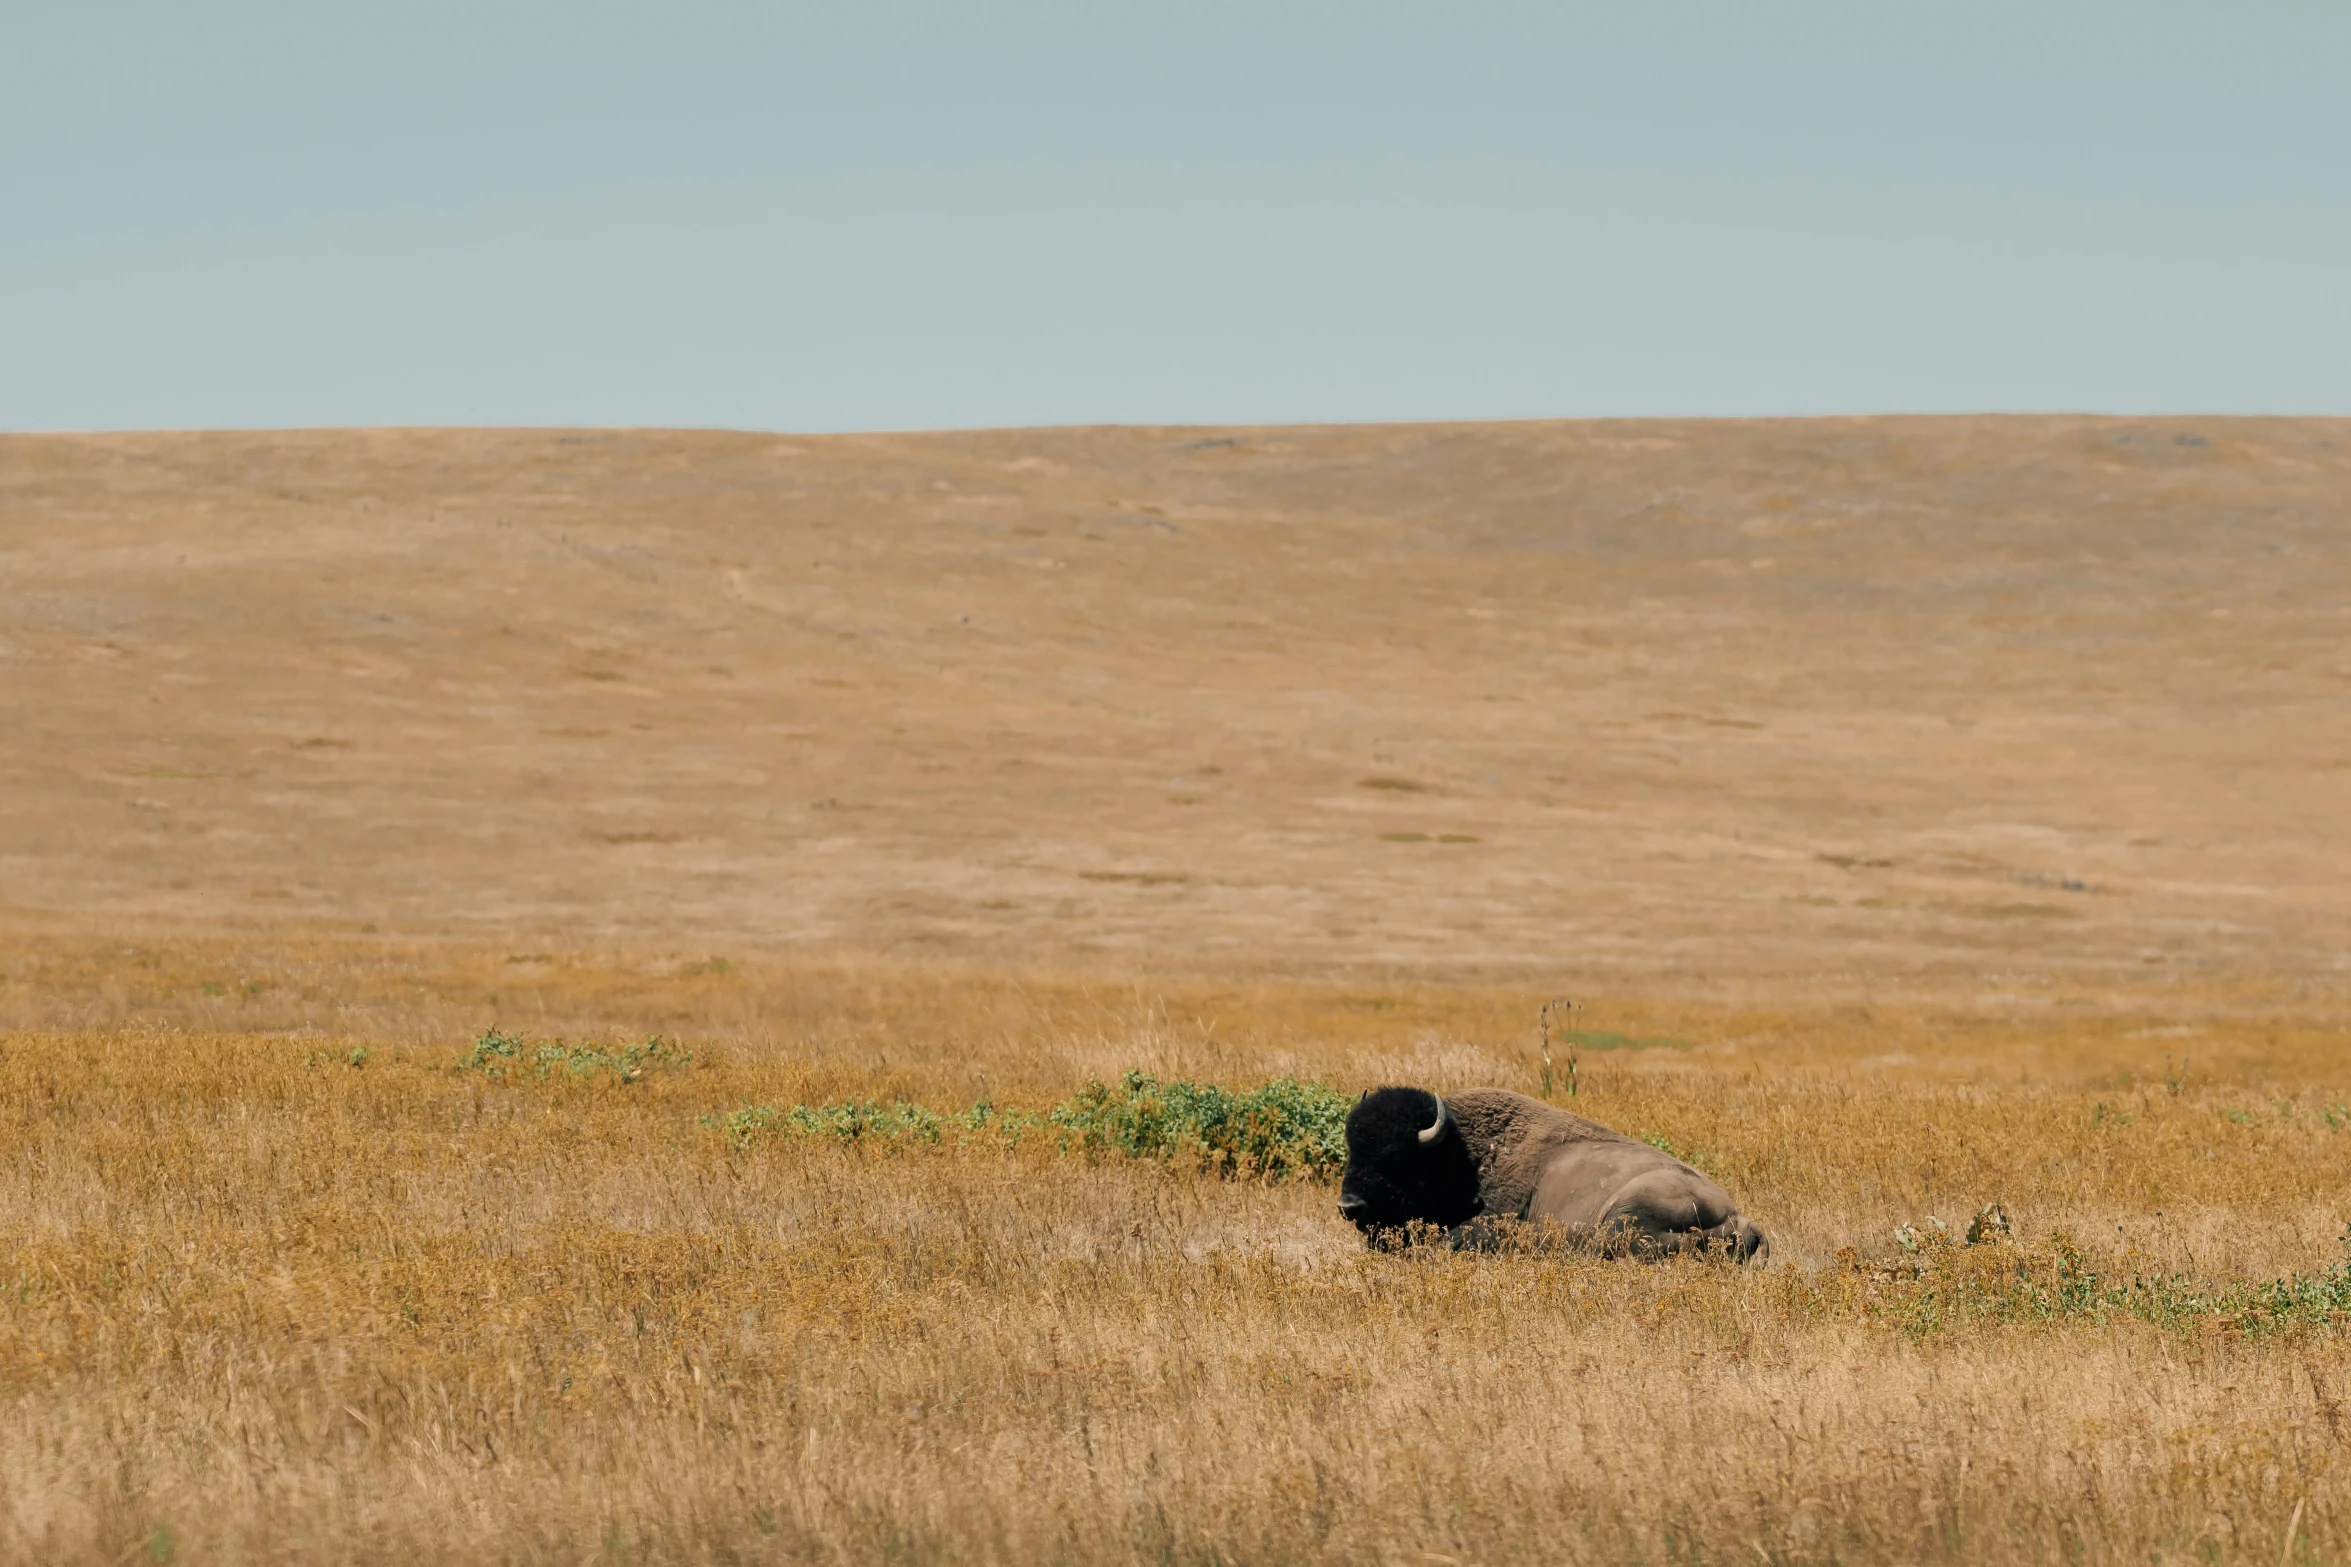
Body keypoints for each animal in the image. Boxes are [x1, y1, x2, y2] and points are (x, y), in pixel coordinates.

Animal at [1344, 1085, 1767, 1268]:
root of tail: (1740, 1217)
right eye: (1351, 1148)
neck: (1460, 1155)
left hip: (1626, 1211)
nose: (1349, 1205)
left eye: (1396, 1159)